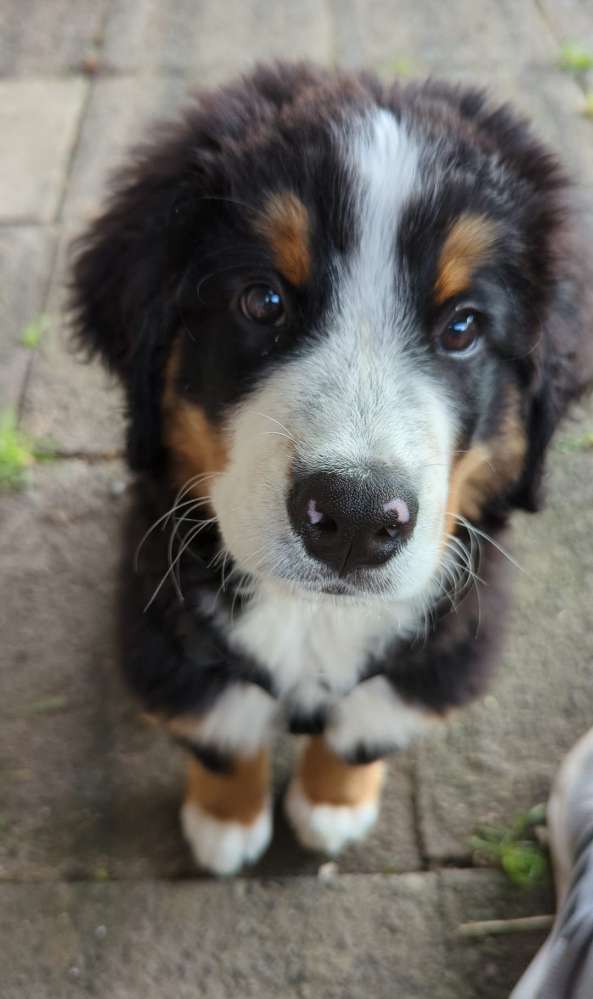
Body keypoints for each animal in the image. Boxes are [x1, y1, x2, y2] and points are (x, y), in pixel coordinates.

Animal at [71, 62, 592, 876]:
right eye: (262, 300)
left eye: (463, 326)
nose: (354, 517)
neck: (314, 616)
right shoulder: (165, 626)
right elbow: (221, 728)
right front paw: (225, 821)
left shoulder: (445, 647)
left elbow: (366, 726)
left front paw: (331, 806)